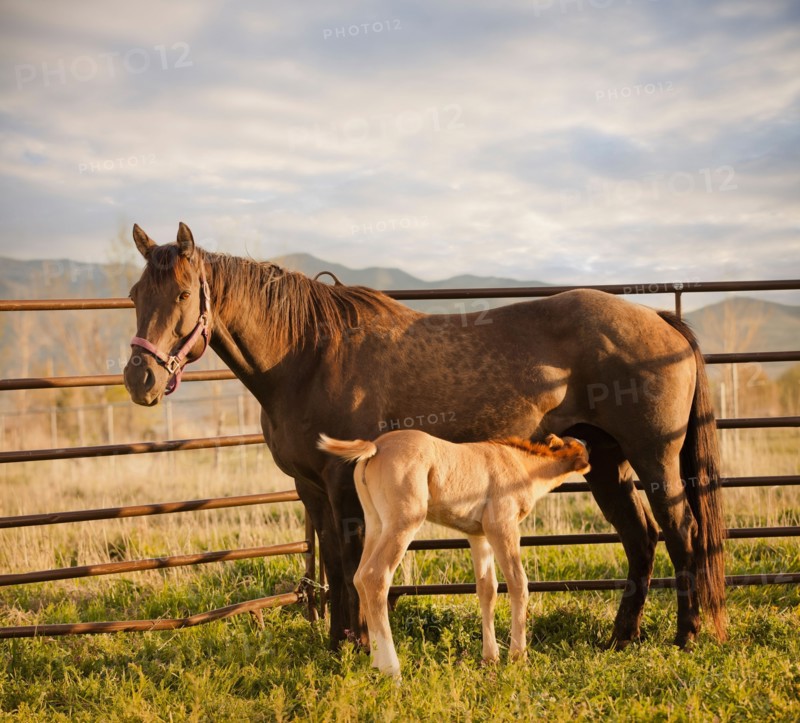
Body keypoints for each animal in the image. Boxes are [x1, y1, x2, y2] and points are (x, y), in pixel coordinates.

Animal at [123, 223, 726, 651]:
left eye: (183, 294)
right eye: (134, 294)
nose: (140, 378)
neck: (310, 356)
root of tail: (660, 318)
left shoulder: (343, 482)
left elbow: (349, 558)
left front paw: (356, 643)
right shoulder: (310, 488)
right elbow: (335, 562)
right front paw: (337, 642)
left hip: (655, 460)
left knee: (683, 533)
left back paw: (687, 635)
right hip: (605, 462)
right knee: (641, 539)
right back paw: (622, 637)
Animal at [318, 431, 591, 678]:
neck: (520, 464)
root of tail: (376, 446)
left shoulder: (478, 536)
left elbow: (487, 589)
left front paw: (490, 658)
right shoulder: (502, 526)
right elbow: (518, 583)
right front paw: (518, 657)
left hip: (376, 524)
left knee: (359, 577)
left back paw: (375, 663)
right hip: (404, 522)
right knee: (375, 576)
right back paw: (392, 671)